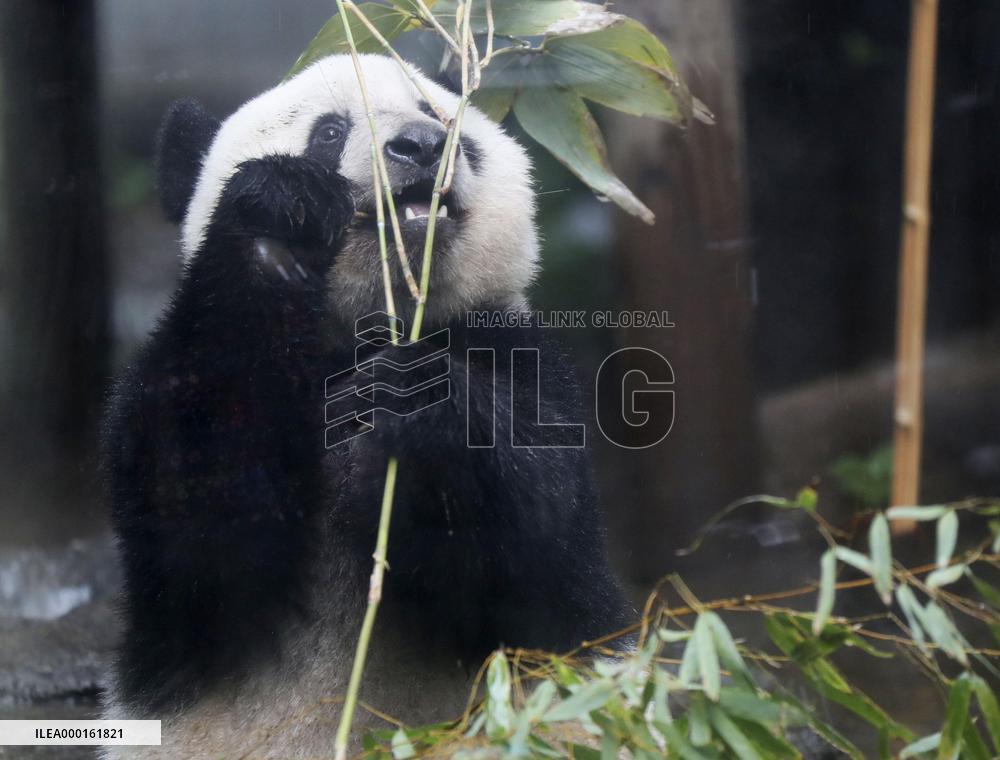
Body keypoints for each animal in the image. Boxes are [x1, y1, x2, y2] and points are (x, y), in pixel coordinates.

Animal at [101, 54, 633, 758]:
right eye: (329, 132)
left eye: (441, 119)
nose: (422, 145)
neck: (370, 327)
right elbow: (202, 521)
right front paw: (280, 218)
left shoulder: (519, 355)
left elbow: (540, 542)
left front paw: (404, 407)